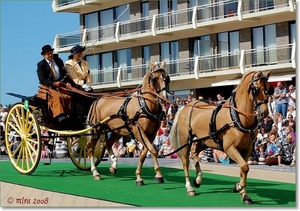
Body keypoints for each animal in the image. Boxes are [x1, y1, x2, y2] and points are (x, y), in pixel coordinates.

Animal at [170, 70, 274, 204]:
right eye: (256, 89)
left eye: (269, 89)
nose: (264, 113)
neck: (237, 117)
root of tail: (186, 106)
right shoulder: (229, 148)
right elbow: (244, 167)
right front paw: (238, 187)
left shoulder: (247, 149)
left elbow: (243, 169)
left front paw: (244, 194)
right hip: (186, 140)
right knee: (185, 161)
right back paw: (190, 188)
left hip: (205, 141)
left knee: (195, 153)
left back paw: (198, 179)